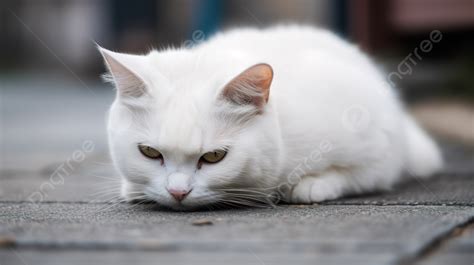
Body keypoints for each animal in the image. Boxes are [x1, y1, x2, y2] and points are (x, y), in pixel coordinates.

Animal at [98, 25, 442, 209]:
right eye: (149, 152)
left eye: (214, 157)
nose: (178, 193)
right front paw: (135, 190)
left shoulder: (379, 153)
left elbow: (353, 175)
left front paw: (311, 185)